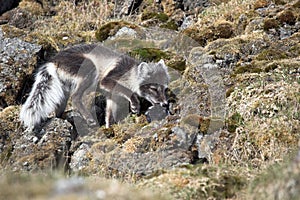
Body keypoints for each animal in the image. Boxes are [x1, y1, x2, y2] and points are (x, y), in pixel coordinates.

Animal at [19, 43, 170, 130]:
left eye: (164, 89)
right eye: (153, 88)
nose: (165, 104)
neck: (130, 74)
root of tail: (53, 61)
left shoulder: (111, 97)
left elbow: (109, 116)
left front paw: (109, 129)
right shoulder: (106, 81)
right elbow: (128, 92)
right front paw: (135, 105)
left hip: (64, 91)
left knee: (59, 108)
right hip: (90, 70)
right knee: (75, 98)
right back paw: (89, 119)